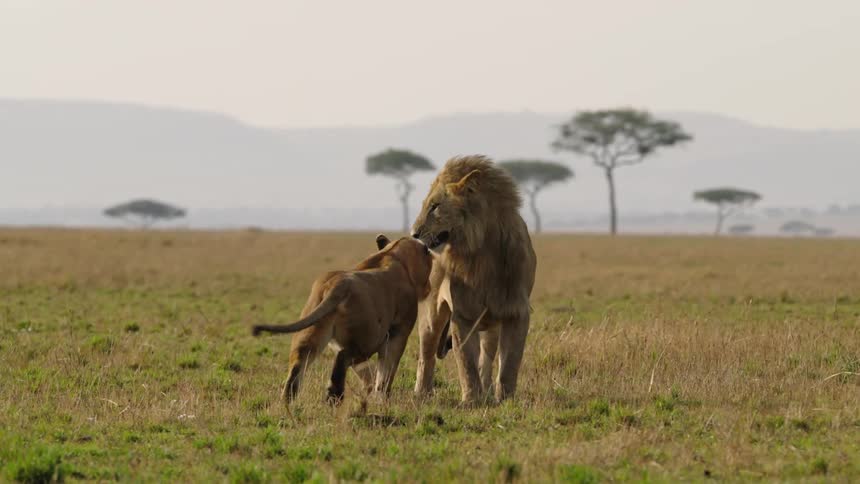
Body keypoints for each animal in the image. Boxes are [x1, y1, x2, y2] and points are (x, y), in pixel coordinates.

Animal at [252, 235, 433, 404]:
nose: (430, 288)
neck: (393, 254)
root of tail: (338, 284)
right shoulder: (398, 331)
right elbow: (386, 370)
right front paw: (381, 398)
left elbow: (371, 373)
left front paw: (371, 393)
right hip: (368, 338)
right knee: (343, 357)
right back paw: (334, 396)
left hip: (313, 332)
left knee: (299, 362)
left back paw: (289, 400)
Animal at [411, 155, 537, 403]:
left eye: (435, 206)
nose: (414, 234)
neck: (482, 251)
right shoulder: (463, 314)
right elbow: (466, 361)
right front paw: (471, 399)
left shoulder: (516, 310)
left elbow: (510, 362)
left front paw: (505, 399)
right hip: (431, 315)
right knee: (426, 355)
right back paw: (422, 394)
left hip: (492, 325)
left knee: (487, 357)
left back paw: (488, 390)